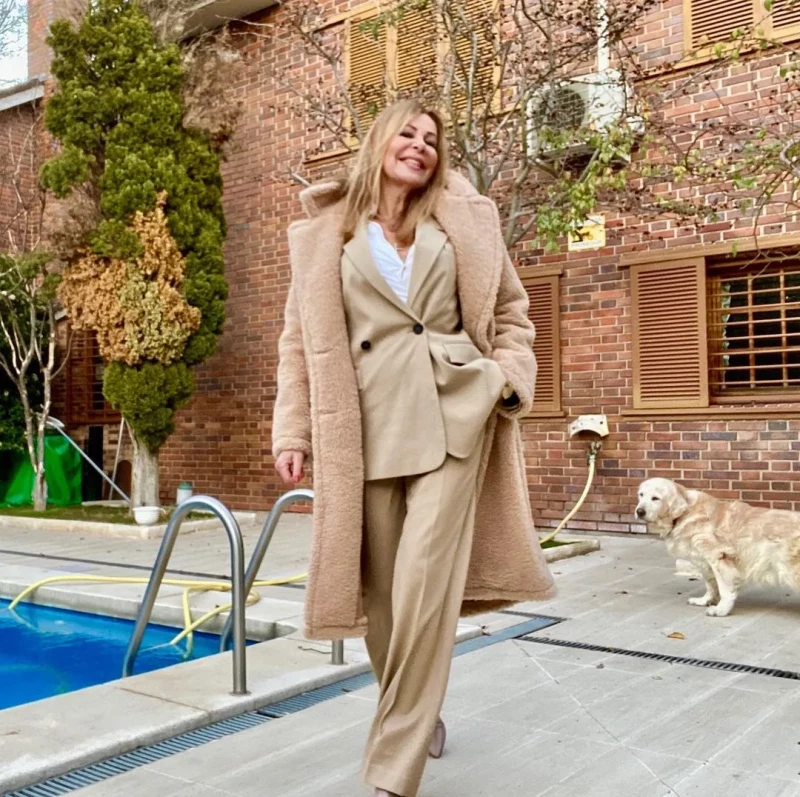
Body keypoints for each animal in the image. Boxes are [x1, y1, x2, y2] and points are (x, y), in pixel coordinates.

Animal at [636, 478, 800, 616]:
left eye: (655, 498)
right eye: (641, 495)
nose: (639, 511)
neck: (685, 513)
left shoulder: (718, 558)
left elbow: (724, 588)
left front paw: (721, 610)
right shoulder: (703, 560)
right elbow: (710, 584)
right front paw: (705, 600)